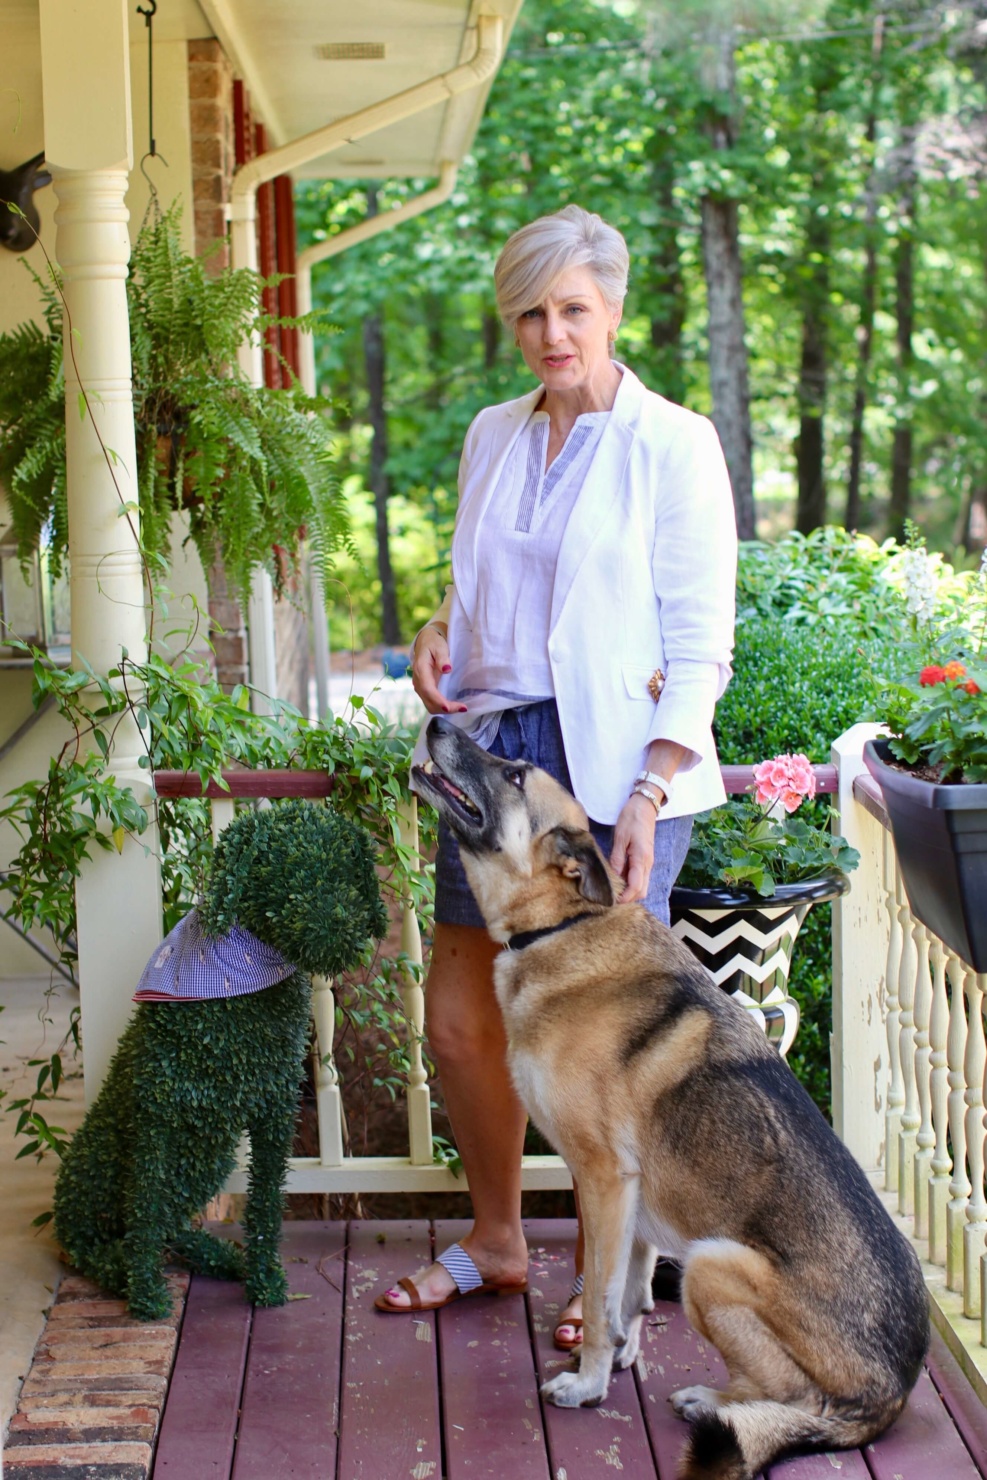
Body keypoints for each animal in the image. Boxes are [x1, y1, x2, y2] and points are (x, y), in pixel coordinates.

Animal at [414, 719, 929, 1480]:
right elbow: (627, 1297)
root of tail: (891, 1396)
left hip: (712, 1266)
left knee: (794, 1397)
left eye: (514, 773)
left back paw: (712, 1402)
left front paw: (588, 1384)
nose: (438, 722)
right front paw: (623, 1358)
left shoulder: (602, 1179)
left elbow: (600, 1302)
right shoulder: (631, 1202)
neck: (563, 926)